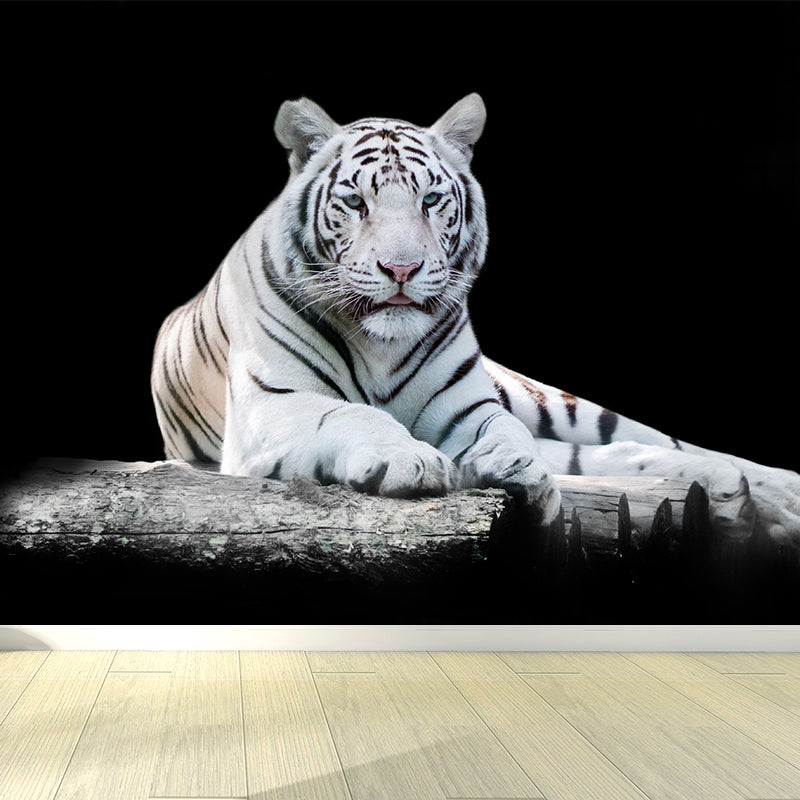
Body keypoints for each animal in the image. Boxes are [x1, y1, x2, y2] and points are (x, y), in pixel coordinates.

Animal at [151, 94, 800, 544]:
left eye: (431, 200)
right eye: (356, 202)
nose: (401, 269)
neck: (380, 346)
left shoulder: (470, 405)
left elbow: (506, 432)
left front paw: (518, 470)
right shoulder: (271, 405)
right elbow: (352, 414)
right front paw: (411, 459)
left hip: (547, 399)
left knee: (641, 440)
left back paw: (760, 488)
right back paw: (727, 491)